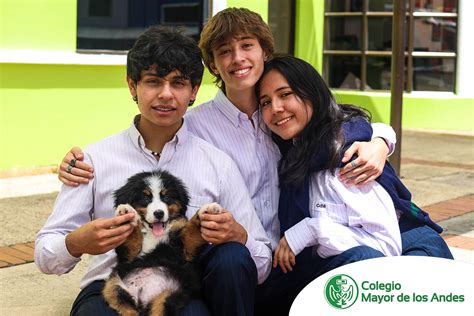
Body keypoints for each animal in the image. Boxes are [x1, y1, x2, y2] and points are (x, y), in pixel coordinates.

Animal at [103, 170, 221, 316]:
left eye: (166, 197)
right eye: (146, 198)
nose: (159, 213)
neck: (155, 234)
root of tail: (141, 300)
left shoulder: (185, 246)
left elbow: (192, 230)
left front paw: (208, 209)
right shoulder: (129, 255)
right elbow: (133, 236)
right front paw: (126, 211)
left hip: (168, 296)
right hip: (113, 285)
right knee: (128, 309)